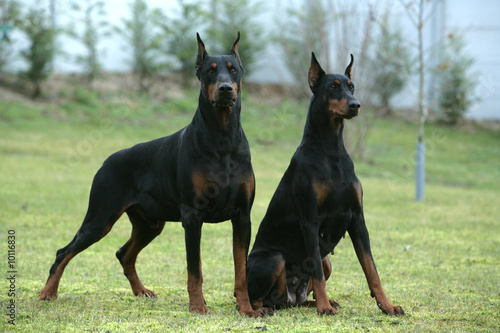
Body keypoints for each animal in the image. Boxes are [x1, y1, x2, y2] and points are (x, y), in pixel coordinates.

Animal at [40, 33, 256, 316]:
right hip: (100, 218)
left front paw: (247, 308)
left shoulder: (242, 217)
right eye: (210, 71)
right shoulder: (193, 216)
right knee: (63, 252)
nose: (225, 89)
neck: (222, 138)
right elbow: (194, 269)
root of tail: (107, 161)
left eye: (234, 70)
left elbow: (241, 270)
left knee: (124, 254)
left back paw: (141, 291)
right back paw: (47, 293)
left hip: (149, 223)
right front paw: (198, 307)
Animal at [247, 53, 406, 316]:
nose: (355, 105)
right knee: (259, 298)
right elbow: (318, 275)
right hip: (273, 260)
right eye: (333, 87)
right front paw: (324, 308)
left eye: (352, 86)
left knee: (294, 298)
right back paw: (264, 310)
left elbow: (372, 270)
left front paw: (387, 305)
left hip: (326, 260)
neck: (332, 151)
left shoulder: (357, 219)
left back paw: (321, 302)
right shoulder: (310, 221)